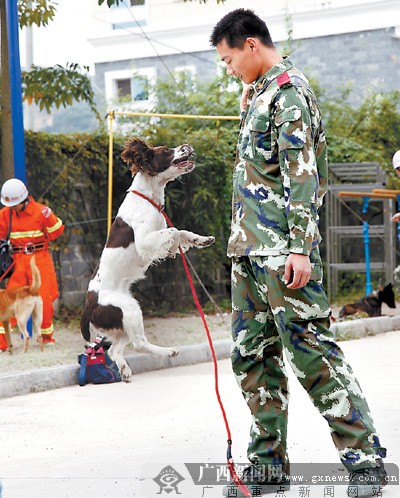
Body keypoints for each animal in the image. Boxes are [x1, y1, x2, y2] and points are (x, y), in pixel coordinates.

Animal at [79, 138, 214, 380]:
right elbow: (174, 231)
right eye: (167, 151)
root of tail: (89, 305)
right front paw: (172, 250)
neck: (148, 197)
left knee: (115, 349)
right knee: (139, 343)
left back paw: (124, 370)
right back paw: (169, 351)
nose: (188, 145)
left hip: (121, 320)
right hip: (129, 309)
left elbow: (181, 231)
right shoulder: (144, 241)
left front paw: (202, 240)